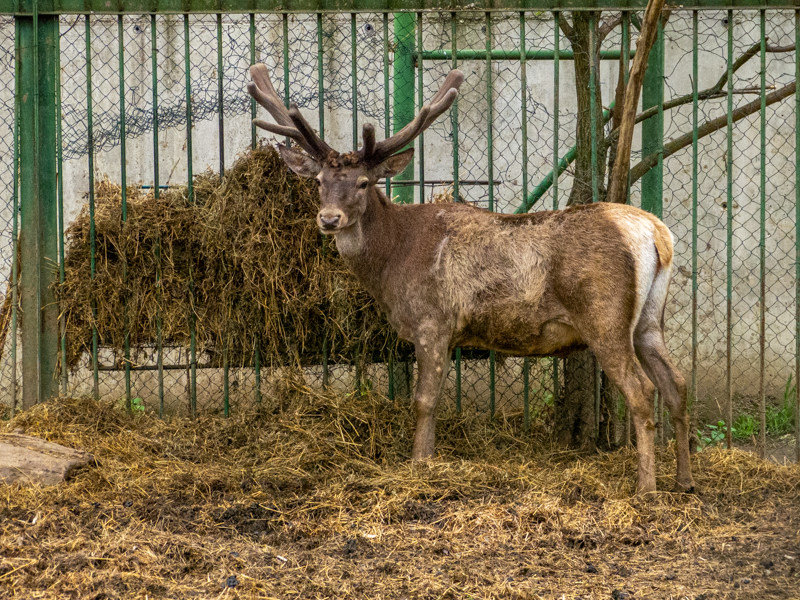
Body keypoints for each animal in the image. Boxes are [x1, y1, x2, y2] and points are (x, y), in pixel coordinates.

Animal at [247, 63, 695, 495]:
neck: (392, 262)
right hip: (649, 318)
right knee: (675, 383)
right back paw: (684, 480)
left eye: (363, 182)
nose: (329, 219)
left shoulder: (432, 321)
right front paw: (426, 460)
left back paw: (646, 488)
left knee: (642, 391)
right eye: (319, 182)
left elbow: (424, 401)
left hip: (604, 315)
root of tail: (656, 232)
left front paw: (419, 464)